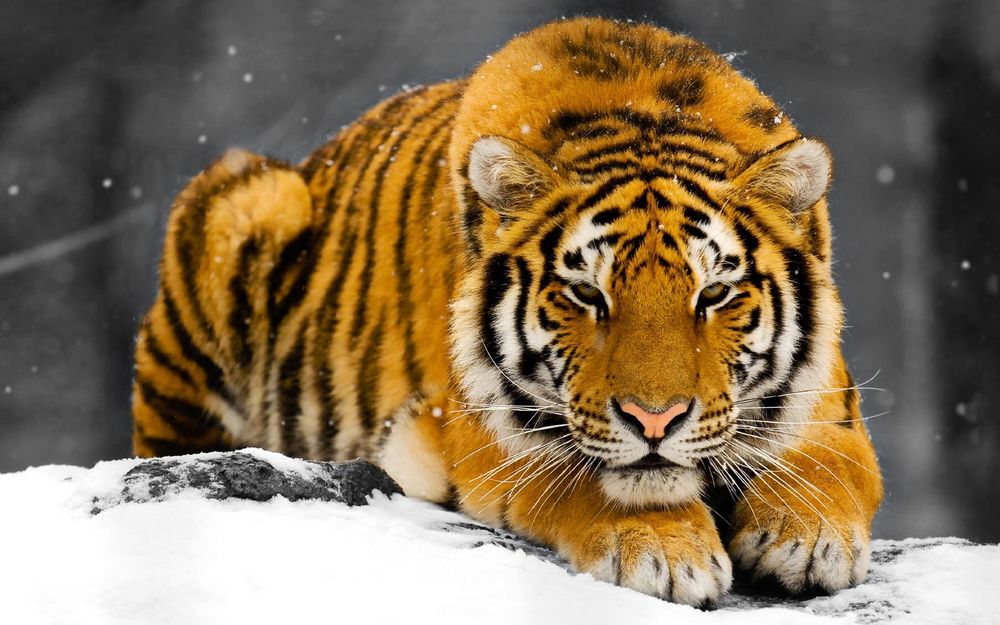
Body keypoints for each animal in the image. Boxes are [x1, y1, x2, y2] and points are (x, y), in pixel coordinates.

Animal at [132, 17, 883, 605]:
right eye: (587, 294)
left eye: (713, 294)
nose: (655, 420)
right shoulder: (478, 428)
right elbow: (584, 475)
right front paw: (665, 550)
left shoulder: (829, 402)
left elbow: (828, 464)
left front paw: (808, 538)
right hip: (245, 205)